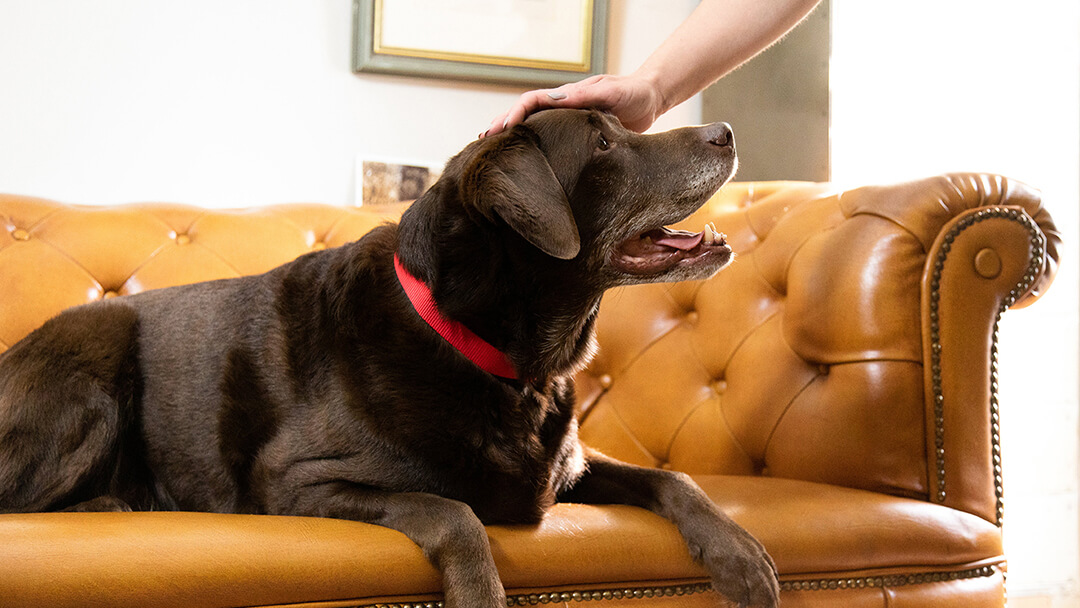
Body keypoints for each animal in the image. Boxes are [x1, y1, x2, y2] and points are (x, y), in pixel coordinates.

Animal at [0, 109, 777, 608]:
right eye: (606, 142)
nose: (728, 132)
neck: (501, 362)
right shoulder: (297, 483)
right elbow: (454, 514)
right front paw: (481, 594)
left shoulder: (571, 467)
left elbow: (674, 478)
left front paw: (741, 555)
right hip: (95, 354)